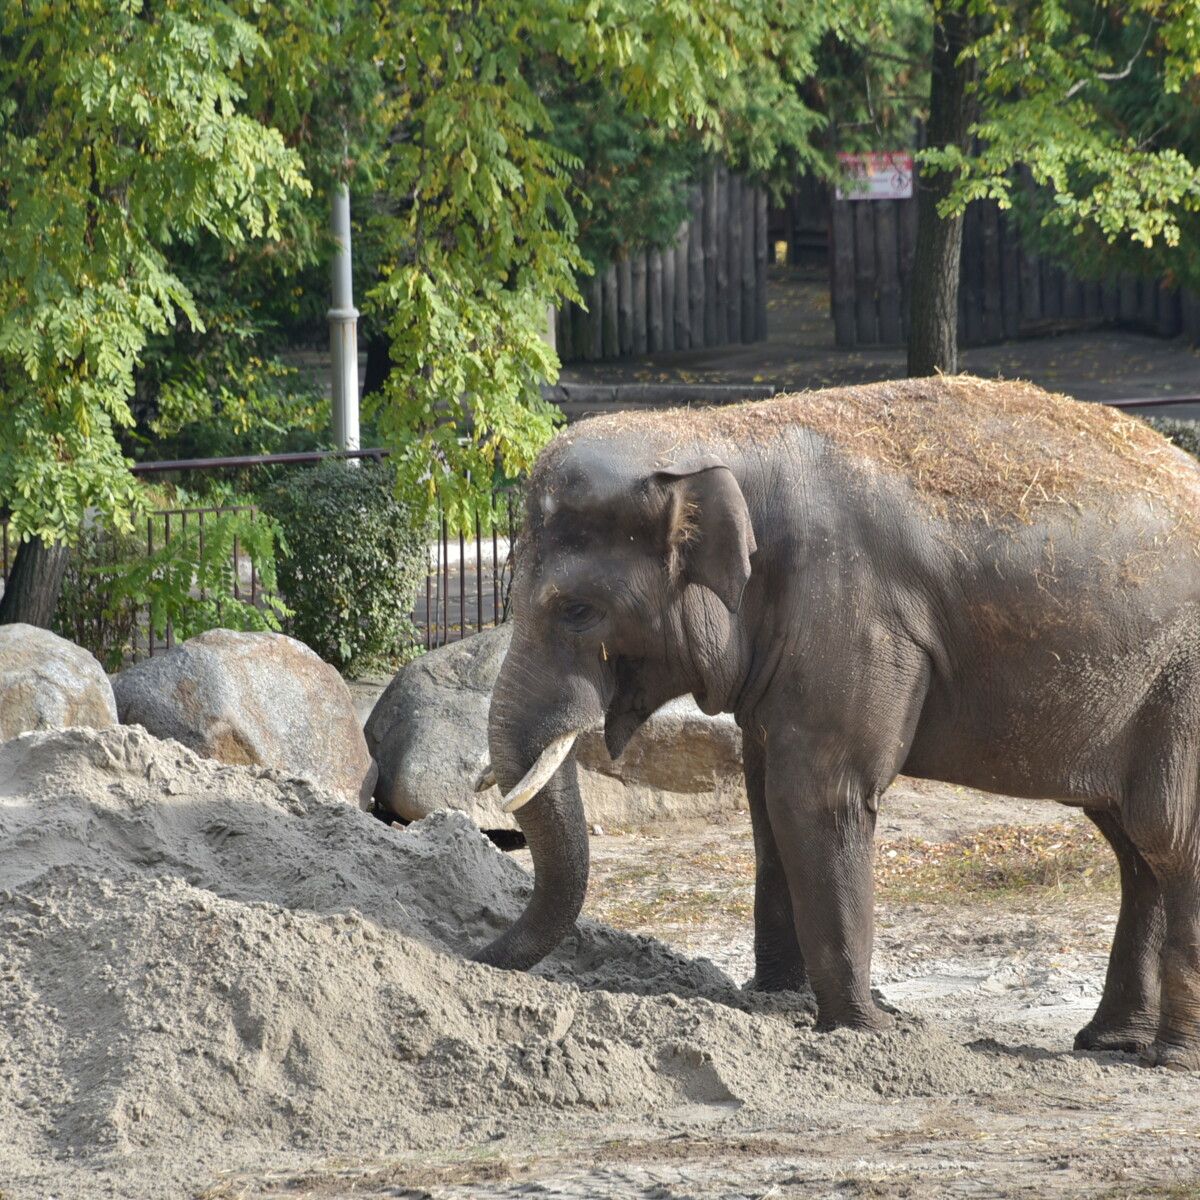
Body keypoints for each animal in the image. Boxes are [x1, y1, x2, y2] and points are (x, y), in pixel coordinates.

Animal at [472, 374, 1200, 1070]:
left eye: (577, 610)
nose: (472, 958)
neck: (712, 432)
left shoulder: (851, 613)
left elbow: (818, 796)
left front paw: (867, 1030)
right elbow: (765, 800)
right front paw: (776, 1001)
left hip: (1181, 684)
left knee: (1165, 830)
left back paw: (1167, 1058)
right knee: (1135, 843)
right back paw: (1111, 1043)